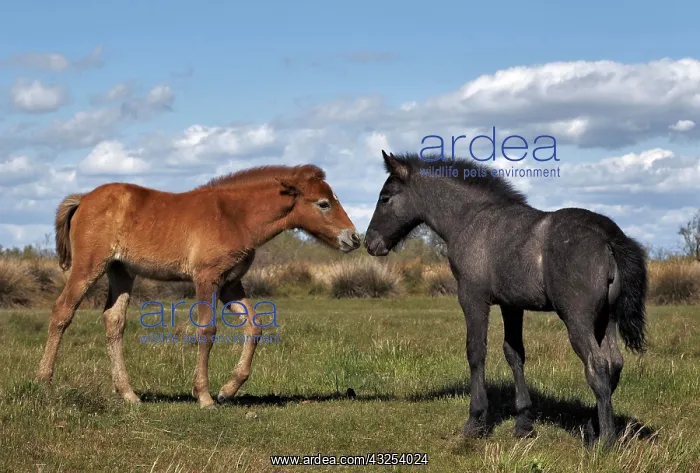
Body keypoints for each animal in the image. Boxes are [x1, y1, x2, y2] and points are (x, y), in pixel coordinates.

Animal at [37, 164, 361, 408]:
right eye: (323, 203)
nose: (354, 238)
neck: (234, 215)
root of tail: (83, 198)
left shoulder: (230, 284)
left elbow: (254, 326)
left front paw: (228, 389)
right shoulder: (206, 278)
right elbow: (207, 330)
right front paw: (204, 396)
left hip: (121, 272)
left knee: (114, 321)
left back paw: (128, 394)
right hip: (88, 267)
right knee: (62, 311)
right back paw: (44, 382)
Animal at [365, 151, 647, 444]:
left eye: (385, 197)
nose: (370, 243)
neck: (470, 219)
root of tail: (608, 237)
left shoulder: (472, 297)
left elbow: (476, 351)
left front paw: (475, 422)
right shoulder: (512, 306)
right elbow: (515, 354)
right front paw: (523, 423)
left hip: (577, 319)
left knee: (598, 365)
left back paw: (605, 441)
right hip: (606, 320)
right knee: (614, 364)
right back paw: (594, 427)